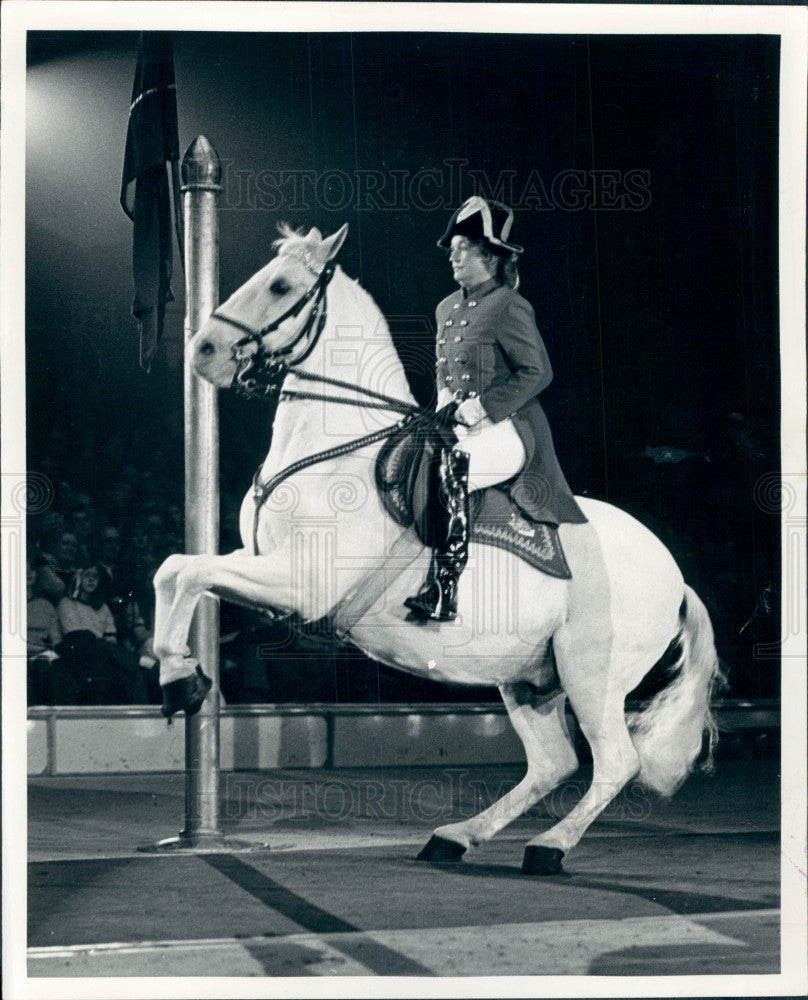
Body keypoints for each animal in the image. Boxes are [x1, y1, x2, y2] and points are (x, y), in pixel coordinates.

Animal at [152, 223, 720, 872]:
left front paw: (180, 678)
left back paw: (548, 846)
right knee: (554, 763)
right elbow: (175, 570)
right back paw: (456, 836)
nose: (203, 351)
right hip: (529, 677)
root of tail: (676, 577)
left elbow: (187, 573)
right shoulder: (259, 564)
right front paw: (178, 672)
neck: (337, 447)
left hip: (591, 673)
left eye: (280, 286)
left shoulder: (300, 581)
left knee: (614, 762)